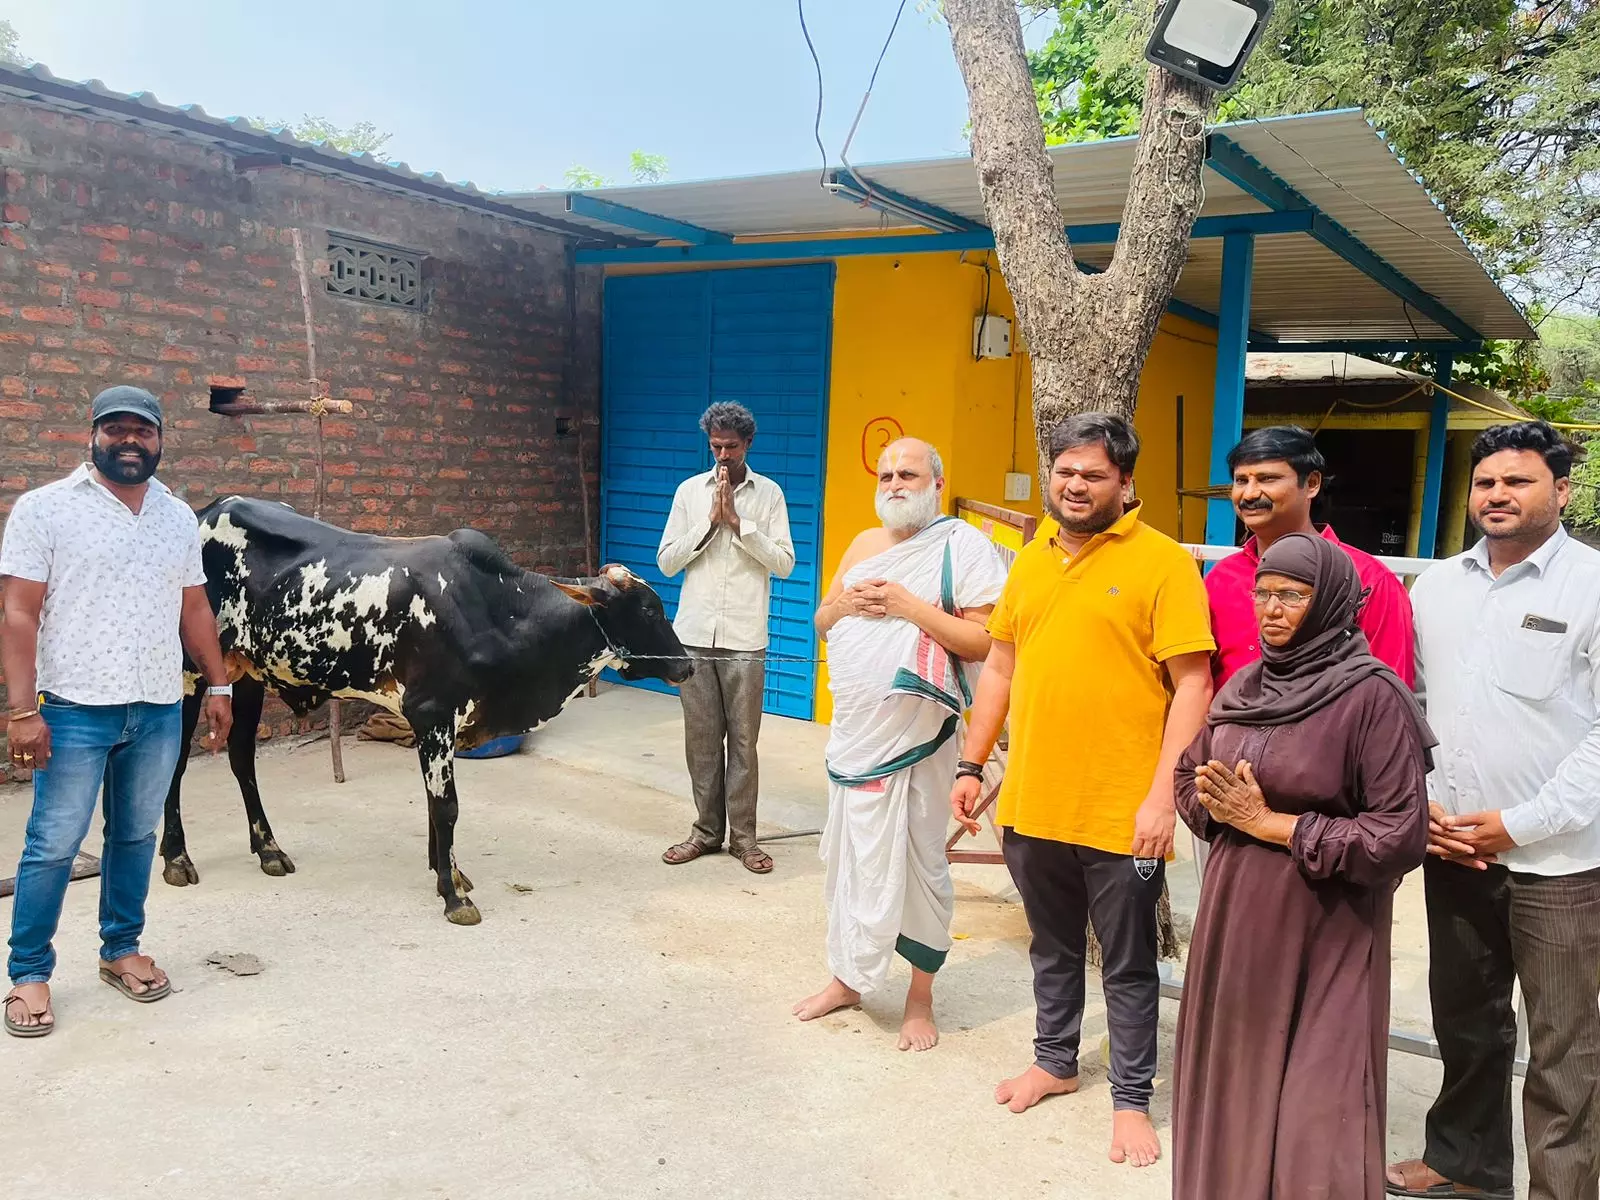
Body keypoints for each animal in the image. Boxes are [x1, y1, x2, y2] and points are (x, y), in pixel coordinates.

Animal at [159, 499, 691, 928]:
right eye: (648, 609)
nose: (686, 664)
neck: (498, 610)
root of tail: (207, 510)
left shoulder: (442, 723)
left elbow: (436, 808)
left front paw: (448, 874)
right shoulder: (433, 715)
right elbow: (446, 806)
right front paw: (454, 897)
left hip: (249, 674)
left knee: (241, 756)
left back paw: (269, 849)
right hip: (188, 672)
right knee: (176, 764)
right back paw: (176, 858)